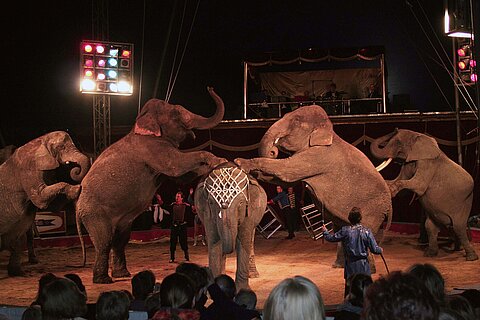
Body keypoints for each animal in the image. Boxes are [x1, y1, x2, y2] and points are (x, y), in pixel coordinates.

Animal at [0, 130, 90, 276]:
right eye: (61, 147)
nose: (75, 170)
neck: (40, 140)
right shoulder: (28, 170)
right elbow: (41, 199)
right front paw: (77, 189)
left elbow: (53, 205)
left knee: (19, 241)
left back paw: (19, 273)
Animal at [76, 87, 229, 282]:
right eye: (176, 113)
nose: (210, 88)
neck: (140, 123)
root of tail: (77, 205)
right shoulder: (153, 149)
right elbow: (177, 165)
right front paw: (219, 160)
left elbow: (181, 178)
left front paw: (215, 165)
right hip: (94, 213)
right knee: (104, 242)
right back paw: (103, 280)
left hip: (117, 220)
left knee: (120, 240)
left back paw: (122, 274)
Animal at [193, 162, 266, 290]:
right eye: (211, 202)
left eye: (241, 203)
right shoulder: (207, 214)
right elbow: (214, 243)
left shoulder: (249, 212)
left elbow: (243, 241)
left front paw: (242, 290)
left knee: (251, 240)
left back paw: (253, 275)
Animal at [234, 105, 392, 268]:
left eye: (296, 121)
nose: (273, 151)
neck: (328, 131)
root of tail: (390, 207)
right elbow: (286, 182)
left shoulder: (318, 156)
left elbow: (286, 171)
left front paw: (239, 162)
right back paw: (339, 266)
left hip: (373, 211)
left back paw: (368, 269)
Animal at [372, 127, 476, 260]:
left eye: (399, 143)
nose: (396, 128)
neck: (419, 136)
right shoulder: (409, 162)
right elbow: (402, 186)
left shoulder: (427, 163)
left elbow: (419, 185)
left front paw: (391, 190)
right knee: (432, 226)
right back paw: (434, 253)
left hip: (465, 202)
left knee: (458, 227)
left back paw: (471, 257)